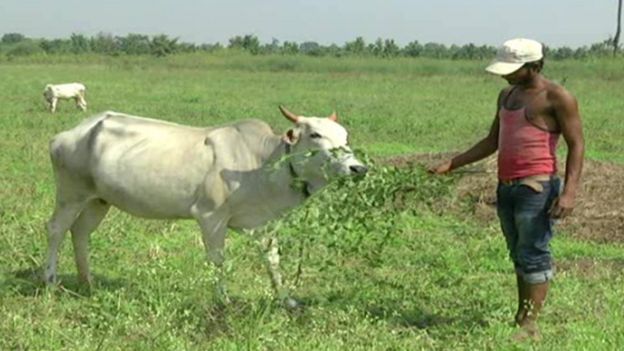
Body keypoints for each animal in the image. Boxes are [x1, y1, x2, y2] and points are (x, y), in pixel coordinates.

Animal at [45, 106, 366, 306]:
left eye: (345, 136)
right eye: (315, 134)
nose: (357, 168)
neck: (261, 163)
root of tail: (68, 134)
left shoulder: (263, 223)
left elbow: (273, 260)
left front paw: (286, 299)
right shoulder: (211, 216)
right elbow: (218, 260)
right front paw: (222, 298)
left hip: (98, 200)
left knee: (80, 233)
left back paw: (87, 281)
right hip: (71, 193)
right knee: (56, 229)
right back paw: (50, 279)